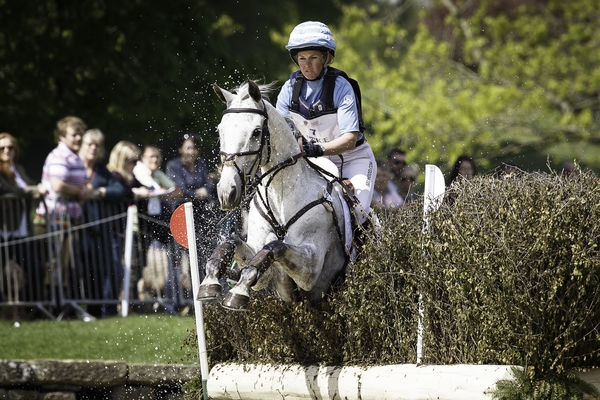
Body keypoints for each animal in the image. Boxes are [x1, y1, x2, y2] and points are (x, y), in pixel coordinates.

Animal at [197, 79, 352, 310]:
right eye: (220, 130)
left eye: (256, 132)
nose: (226, 193)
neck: (280, 195)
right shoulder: (269, 273)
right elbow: (231, 243)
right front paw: (210, 281)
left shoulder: (312, 267)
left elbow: (274, 247)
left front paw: (237, 293)